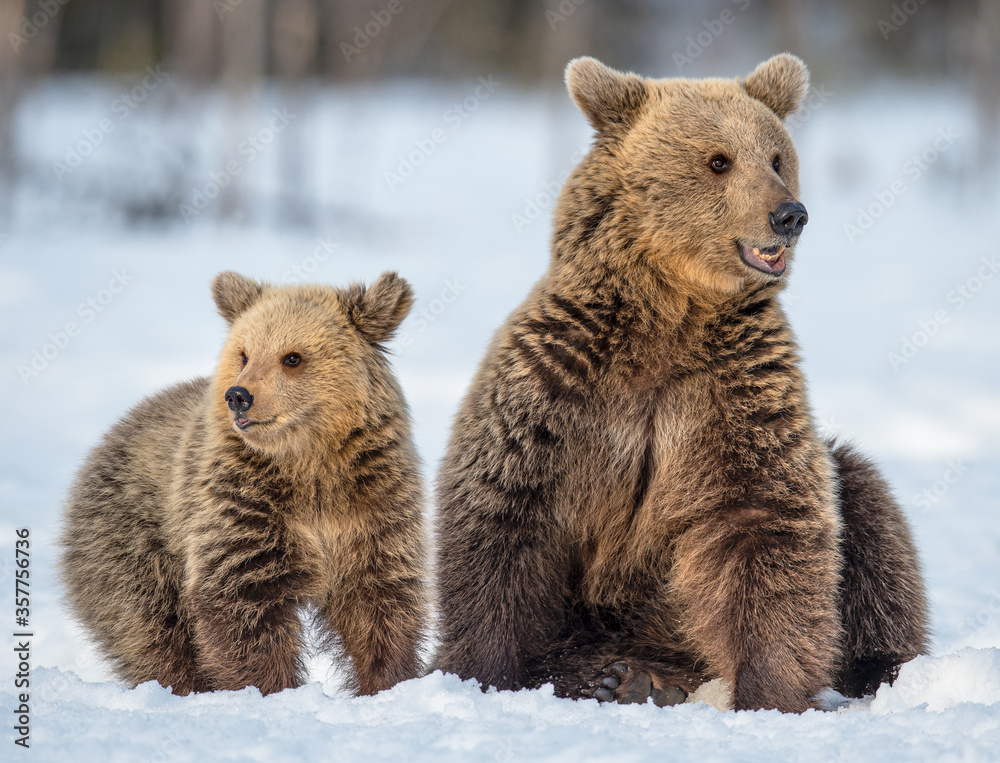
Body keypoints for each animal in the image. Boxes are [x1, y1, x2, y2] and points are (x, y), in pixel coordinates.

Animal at [60, 271, 428, 697]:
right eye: (244, 353)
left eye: (292, 356)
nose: (238, 395)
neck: (309, 466)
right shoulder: (244, 510)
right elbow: (242, 604)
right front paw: (268, 689)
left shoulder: (370, 507)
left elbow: (379, 600)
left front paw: (387, 682)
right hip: (132, 539)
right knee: (152, 629)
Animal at [434, 54, 928, 713]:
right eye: (718, 160)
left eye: (776, 157)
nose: (789, 214)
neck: (670, 314)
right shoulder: (560, 382)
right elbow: (503, 514)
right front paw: (480, 674)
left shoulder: (734, 393)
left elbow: (764, 518)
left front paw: (767, 690)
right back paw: (607, 677)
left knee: (868, 511)